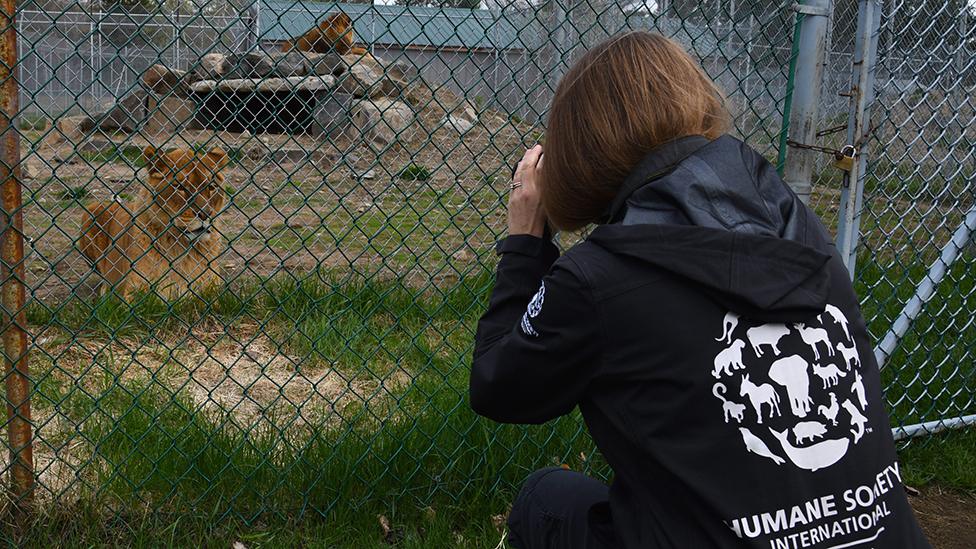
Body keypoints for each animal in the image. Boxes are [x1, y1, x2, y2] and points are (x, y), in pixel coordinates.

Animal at [80, 146, 231, 300]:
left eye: (212, 187)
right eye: (180, 187)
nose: (205, 214)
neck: (182, 248)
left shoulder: (212, 292)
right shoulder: (136, 293)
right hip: (91, 212)